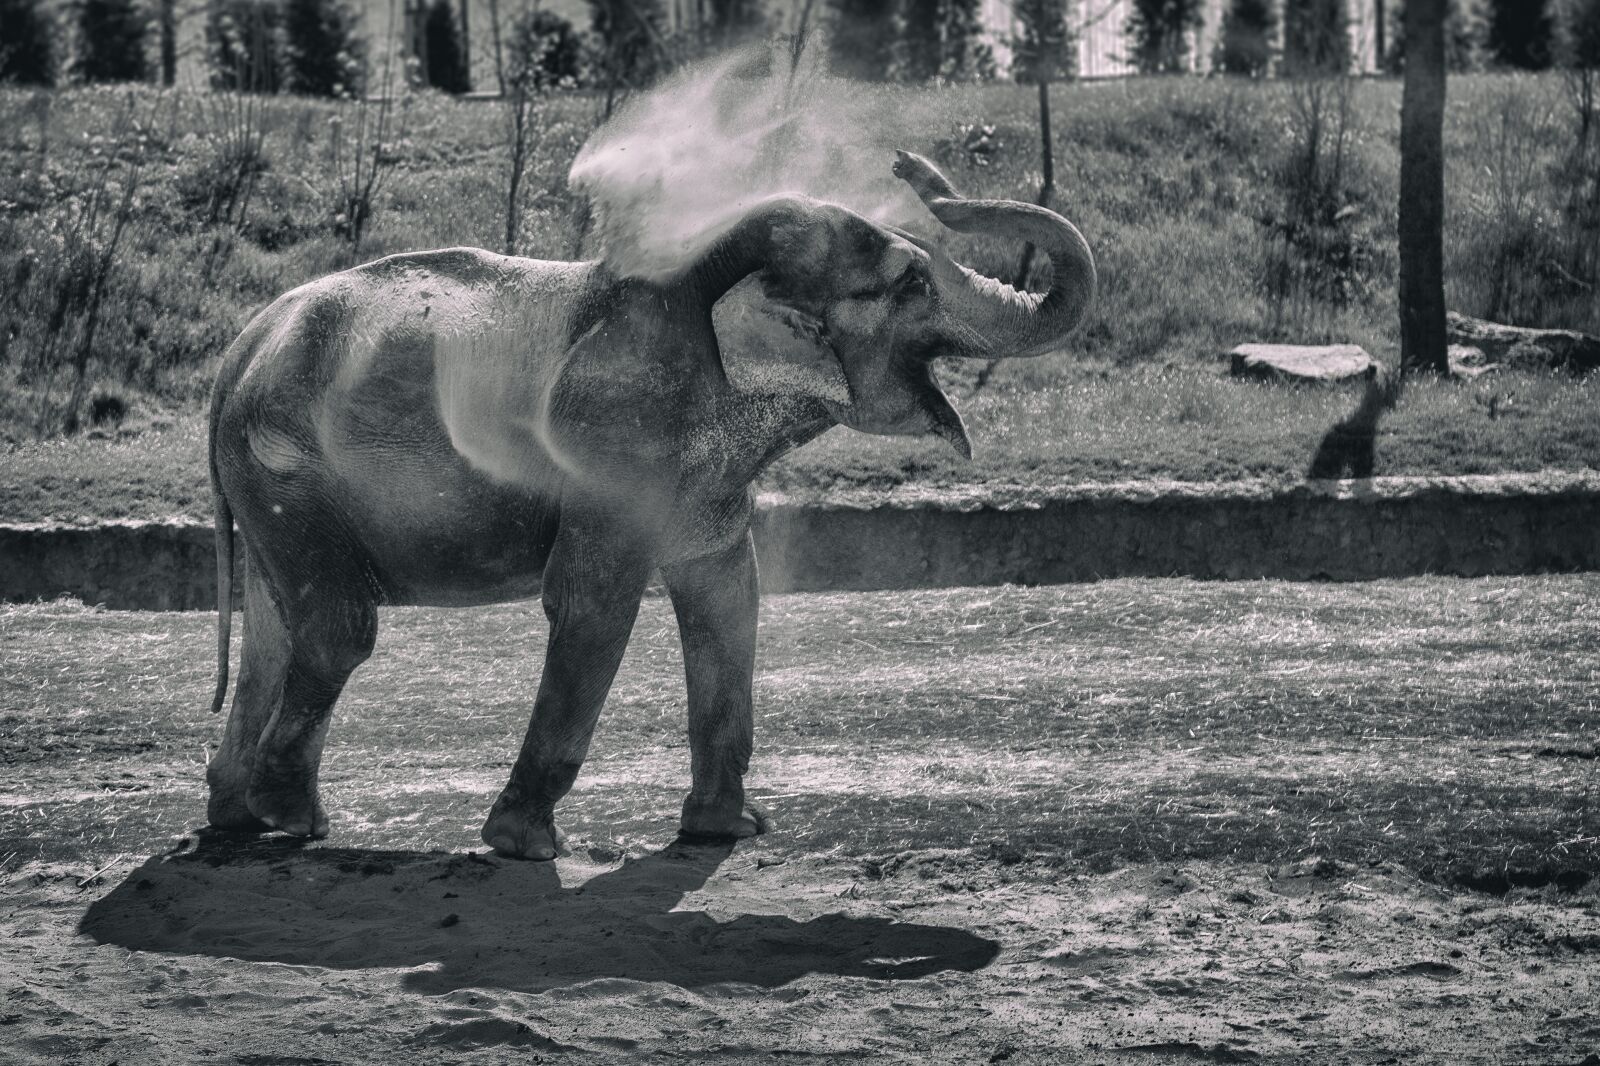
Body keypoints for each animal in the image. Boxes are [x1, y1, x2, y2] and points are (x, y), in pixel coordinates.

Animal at [205, 150, 1095, 860]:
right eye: (911, 282)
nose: (911, 168)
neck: (713, 266)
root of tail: (238, 349)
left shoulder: (704, 473)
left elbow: (730, 596)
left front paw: (726, 831)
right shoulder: (616, 439)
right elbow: (593, 602)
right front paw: (526, 845)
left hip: (272, 481)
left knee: (273, 630)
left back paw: (235, 818)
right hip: (289, 465)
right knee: (339, 628)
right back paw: (296, 821)